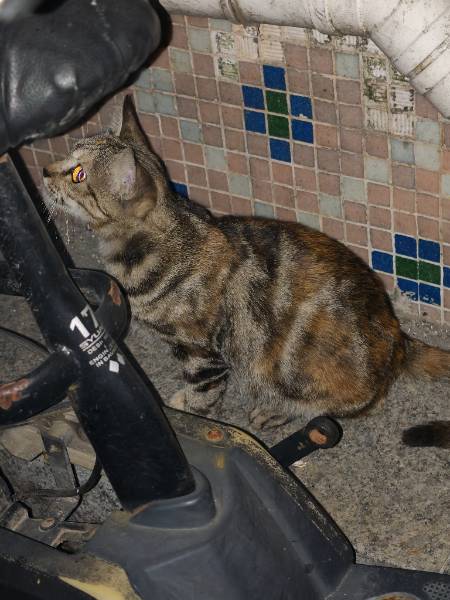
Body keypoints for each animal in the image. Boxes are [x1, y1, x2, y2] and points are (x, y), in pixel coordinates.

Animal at [43, 95, 449, 448]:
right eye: (70, 154)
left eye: (78, 174)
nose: (45, 170)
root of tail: (400, 338)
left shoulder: (200, 352)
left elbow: (202, 394)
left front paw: (190, 415)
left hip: (297, 376)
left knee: (331, 408)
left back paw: (277, 411)